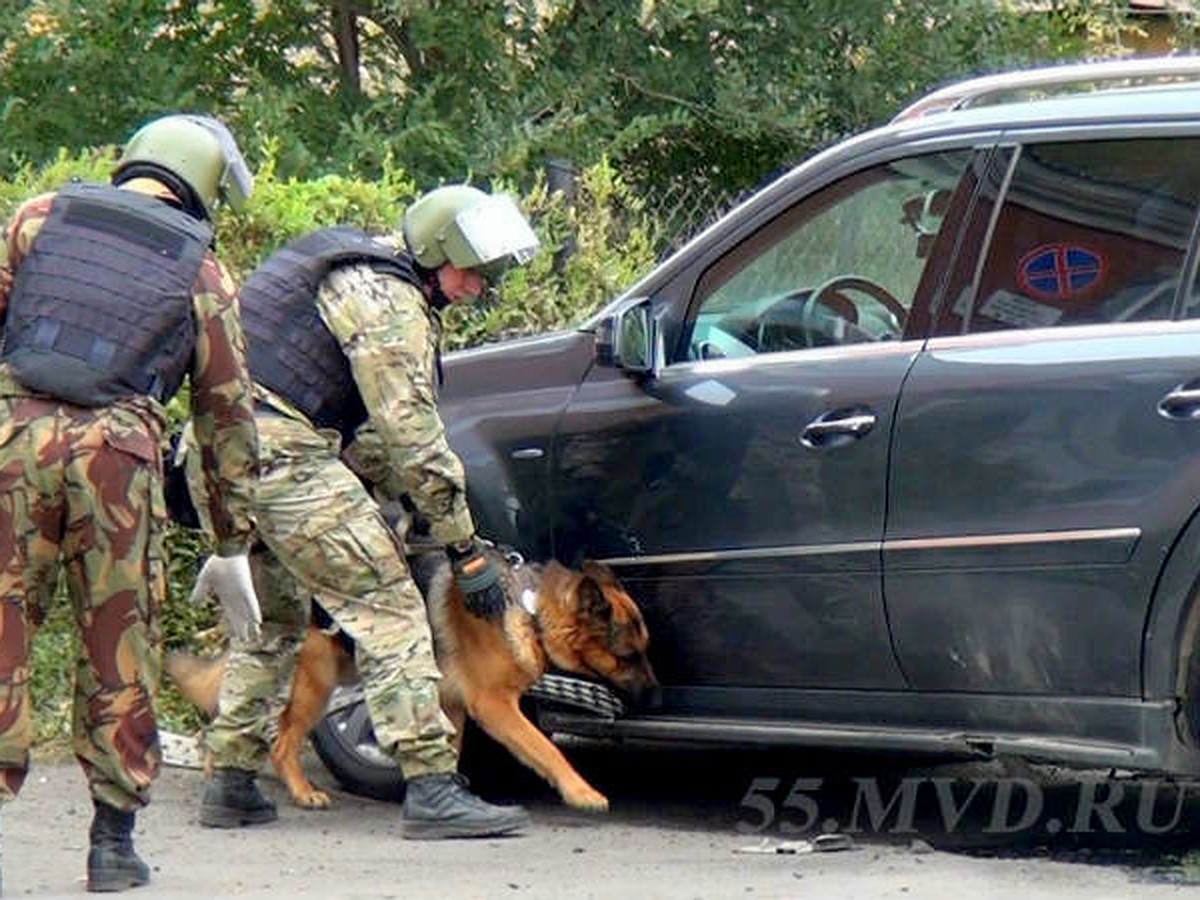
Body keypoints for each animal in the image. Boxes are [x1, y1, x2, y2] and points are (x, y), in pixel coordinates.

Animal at [166, 554, 657, 816]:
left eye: (644, 651)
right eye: (629, 656)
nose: (657, 695)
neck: (530, 611)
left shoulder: (453, 704)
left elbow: (450, 748)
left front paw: (450, 793)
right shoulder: (494, 706)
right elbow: (546, 749)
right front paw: (582, 792)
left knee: (229, 714)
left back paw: (220, 774)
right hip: (315, 683)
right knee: (280, 741)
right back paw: (301, 792)